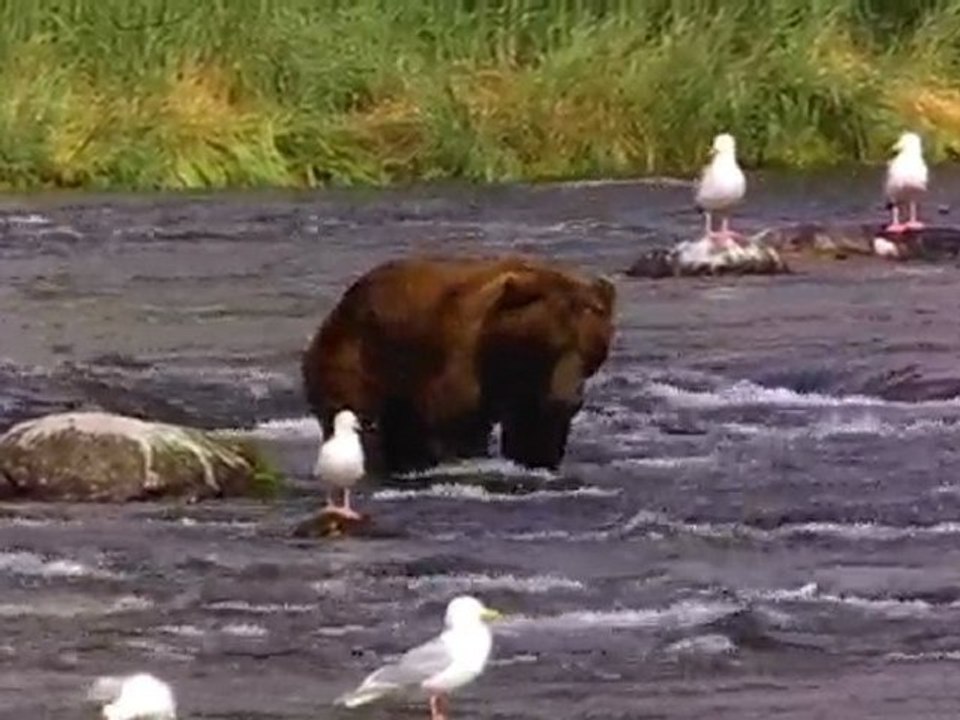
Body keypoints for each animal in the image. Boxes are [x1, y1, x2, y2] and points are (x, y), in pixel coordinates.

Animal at [301, 255, 616, 476]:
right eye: (554, 345)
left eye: (591, 351)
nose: (569, 399)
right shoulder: (461, 362)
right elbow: (457, 426)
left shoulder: (531, 393)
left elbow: (535, 435)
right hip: (359, 357)